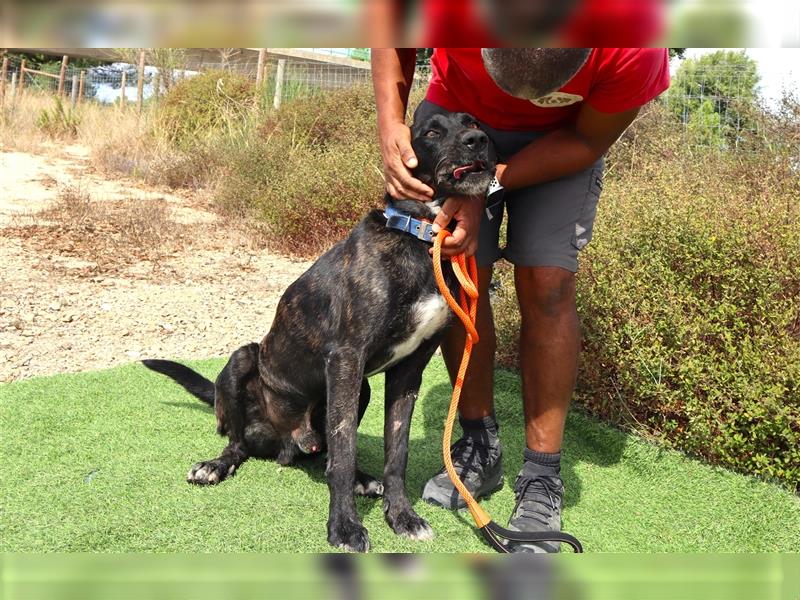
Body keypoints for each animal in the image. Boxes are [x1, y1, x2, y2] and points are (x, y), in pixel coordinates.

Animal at [142, 109, 494, 552]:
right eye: (431, 132)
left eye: (473, 121)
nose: (480, 140)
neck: (420, 237)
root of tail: (286, 443)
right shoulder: (346, 359)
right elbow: (342, 454)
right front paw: (344, 526)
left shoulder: (407, 371)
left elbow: (396, 454)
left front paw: (402, 516)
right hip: (246, 361)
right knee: (240, 443)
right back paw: (216, 465)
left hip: (359, 389)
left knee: (324, 449)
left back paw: (362, 478)